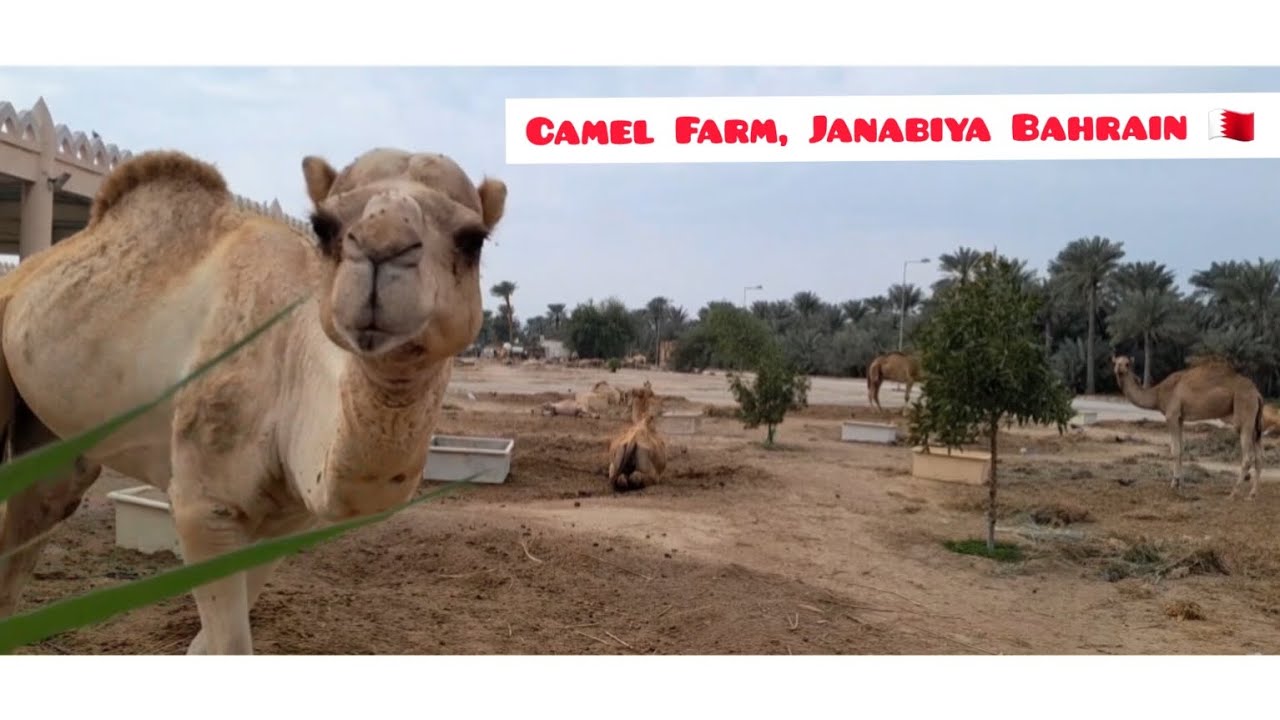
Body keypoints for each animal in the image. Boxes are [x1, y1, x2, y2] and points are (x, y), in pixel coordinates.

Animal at [0, 146, 507, 654]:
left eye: (473, 239)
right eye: (324, 226)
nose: (382, 246)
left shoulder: (288, 517)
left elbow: (206, 643)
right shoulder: (202, 506)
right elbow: (227, 644)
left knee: (46, 498)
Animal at [1111, 355, 1264, 499]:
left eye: (1127, 363)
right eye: (1116, 362)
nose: (1119, 369)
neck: (1158, 394)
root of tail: (1257, 393)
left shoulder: (1171, 415)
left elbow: (1175, 450)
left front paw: (1174, 484)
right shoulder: (1180, 418)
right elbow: (1181, 449)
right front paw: (1180, 483)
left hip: (1244, 412)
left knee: (1248, 456)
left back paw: (1233, 493)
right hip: (1255, 422)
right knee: (1258, 455)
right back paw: (1252, 494)